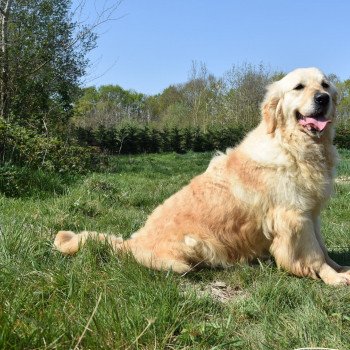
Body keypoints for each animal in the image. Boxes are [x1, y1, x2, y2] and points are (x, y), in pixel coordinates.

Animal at [53, 67, 348, 284]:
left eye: (325, 85)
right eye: (298, 87)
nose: (323, 99)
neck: (294, 147)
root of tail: (132, 242)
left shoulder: (312, 214)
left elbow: (324, 250)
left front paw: (341, 268)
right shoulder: (294, 217)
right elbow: (314, 256)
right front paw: (333, 278)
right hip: (193, 248)